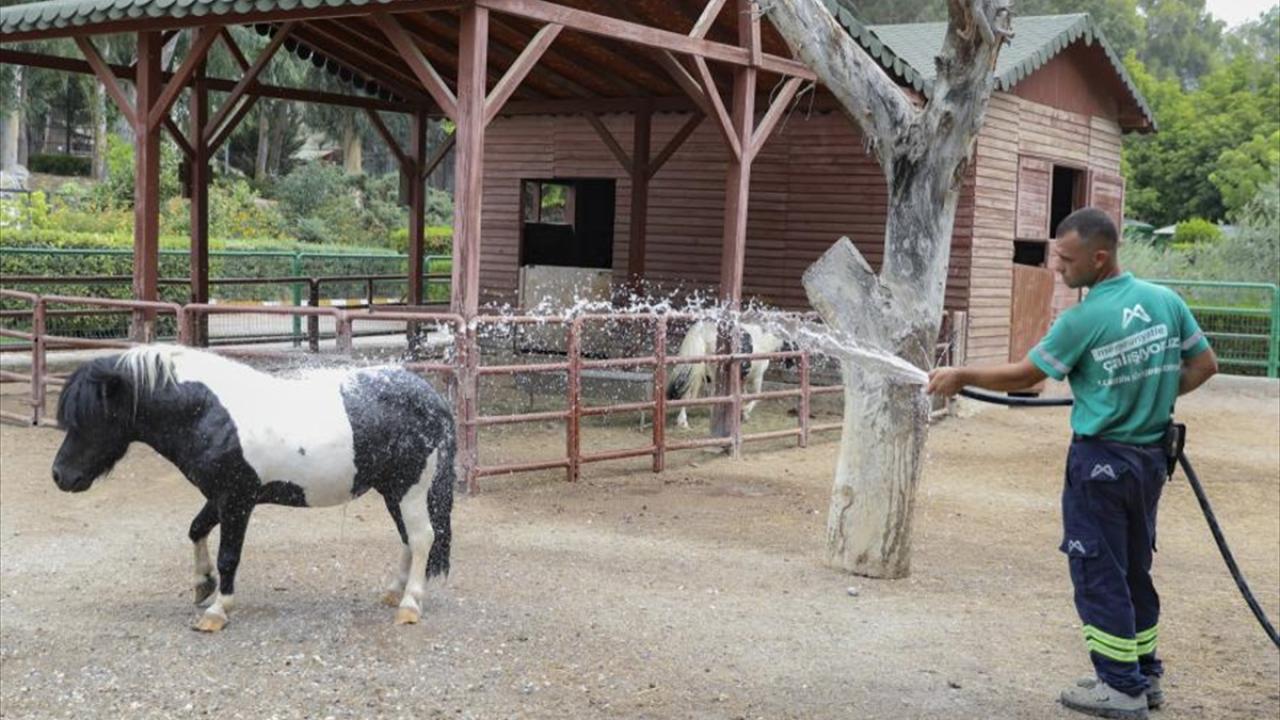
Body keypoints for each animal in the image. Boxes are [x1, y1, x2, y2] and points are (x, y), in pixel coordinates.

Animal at [51, 345, 455, 632]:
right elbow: (195, 530)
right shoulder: (218, 496)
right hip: (392, 490)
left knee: (422, 537)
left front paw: (217, 610)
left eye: (93, 417)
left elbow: (229, 555)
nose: (60, 476)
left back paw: (410, 604)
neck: (208, 413)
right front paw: (203, 583)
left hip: (409, 488)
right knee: (407, 537)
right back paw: (393, 592)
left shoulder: (237, 500)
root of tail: (431, 398)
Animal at [665, 320, 797, 429]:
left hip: (696, 371)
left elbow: (744, 395)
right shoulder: (757, 376)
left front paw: (742, 414)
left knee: (687, 394)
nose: (792, 366)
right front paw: (745, 411)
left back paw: (684, 422)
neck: (765, 342)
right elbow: (757, 396)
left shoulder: (742, 378)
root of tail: (702, 330)